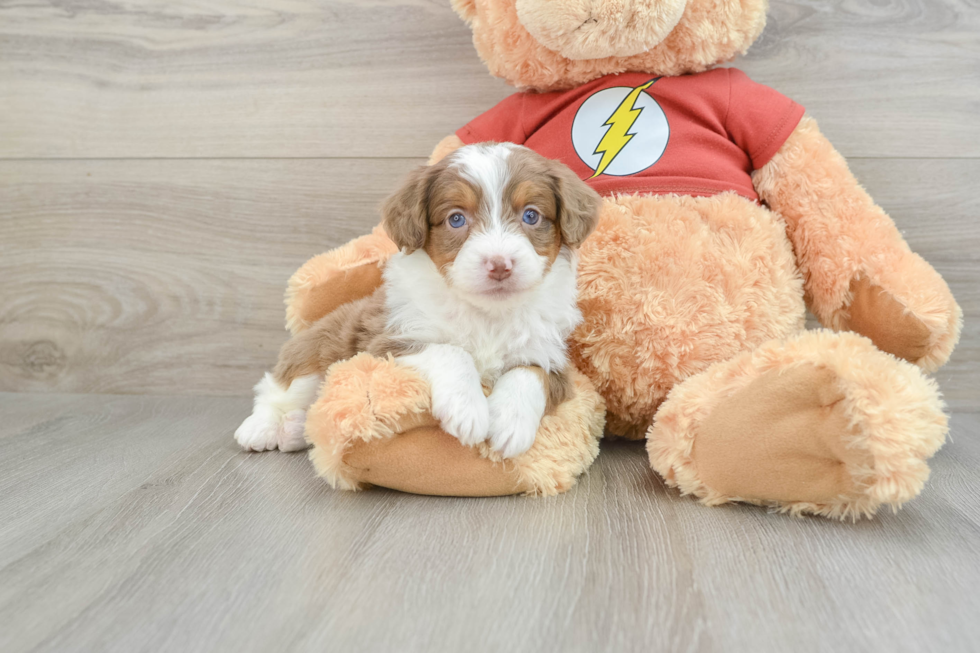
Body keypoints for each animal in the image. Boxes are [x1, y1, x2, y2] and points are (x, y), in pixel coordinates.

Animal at [238, 143, 604, 458]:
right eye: (456, 218)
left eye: (531, 216)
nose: (500, 265)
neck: (487, 313)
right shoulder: (389, 340)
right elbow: (452, 352)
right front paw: (467, 410)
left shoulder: (551, 355)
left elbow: (529, 373)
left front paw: (509, 423)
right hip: (318, 352)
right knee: (276, 389)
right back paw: (262, 428)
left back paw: (294, 430)